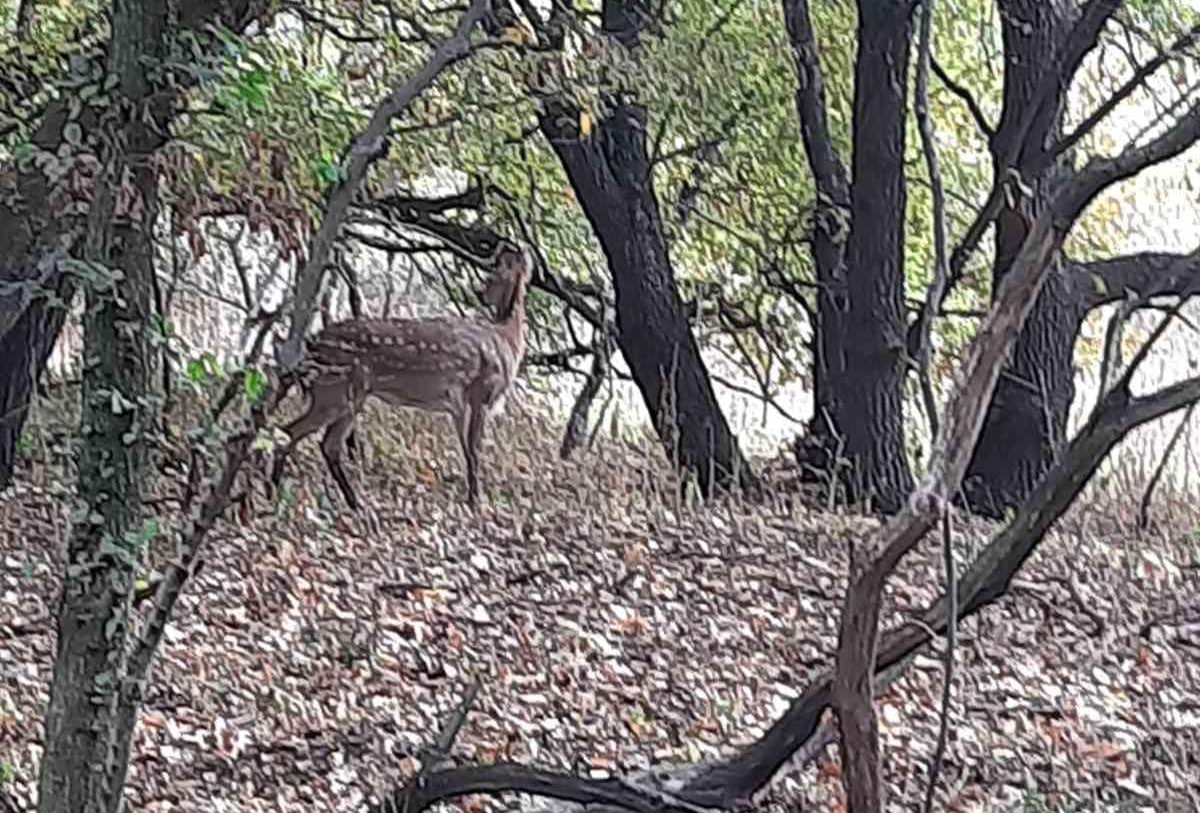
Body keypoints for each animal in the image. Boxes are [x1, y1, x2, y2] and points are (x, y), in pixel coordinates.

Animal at [274, 250, 532, 508]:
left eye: (493, 275)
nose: (479, 293)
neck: (508, 338)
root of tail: (311, 347)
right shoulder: (483, 393)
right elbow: (475, 449)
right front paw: (476, 503)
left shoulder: (460, 406)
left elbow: (466, 450)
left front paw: (471, 499)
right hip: (335, 390)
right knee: (298, 434)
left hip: (347, 396)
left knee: (321, 442)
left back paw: (346, 502)